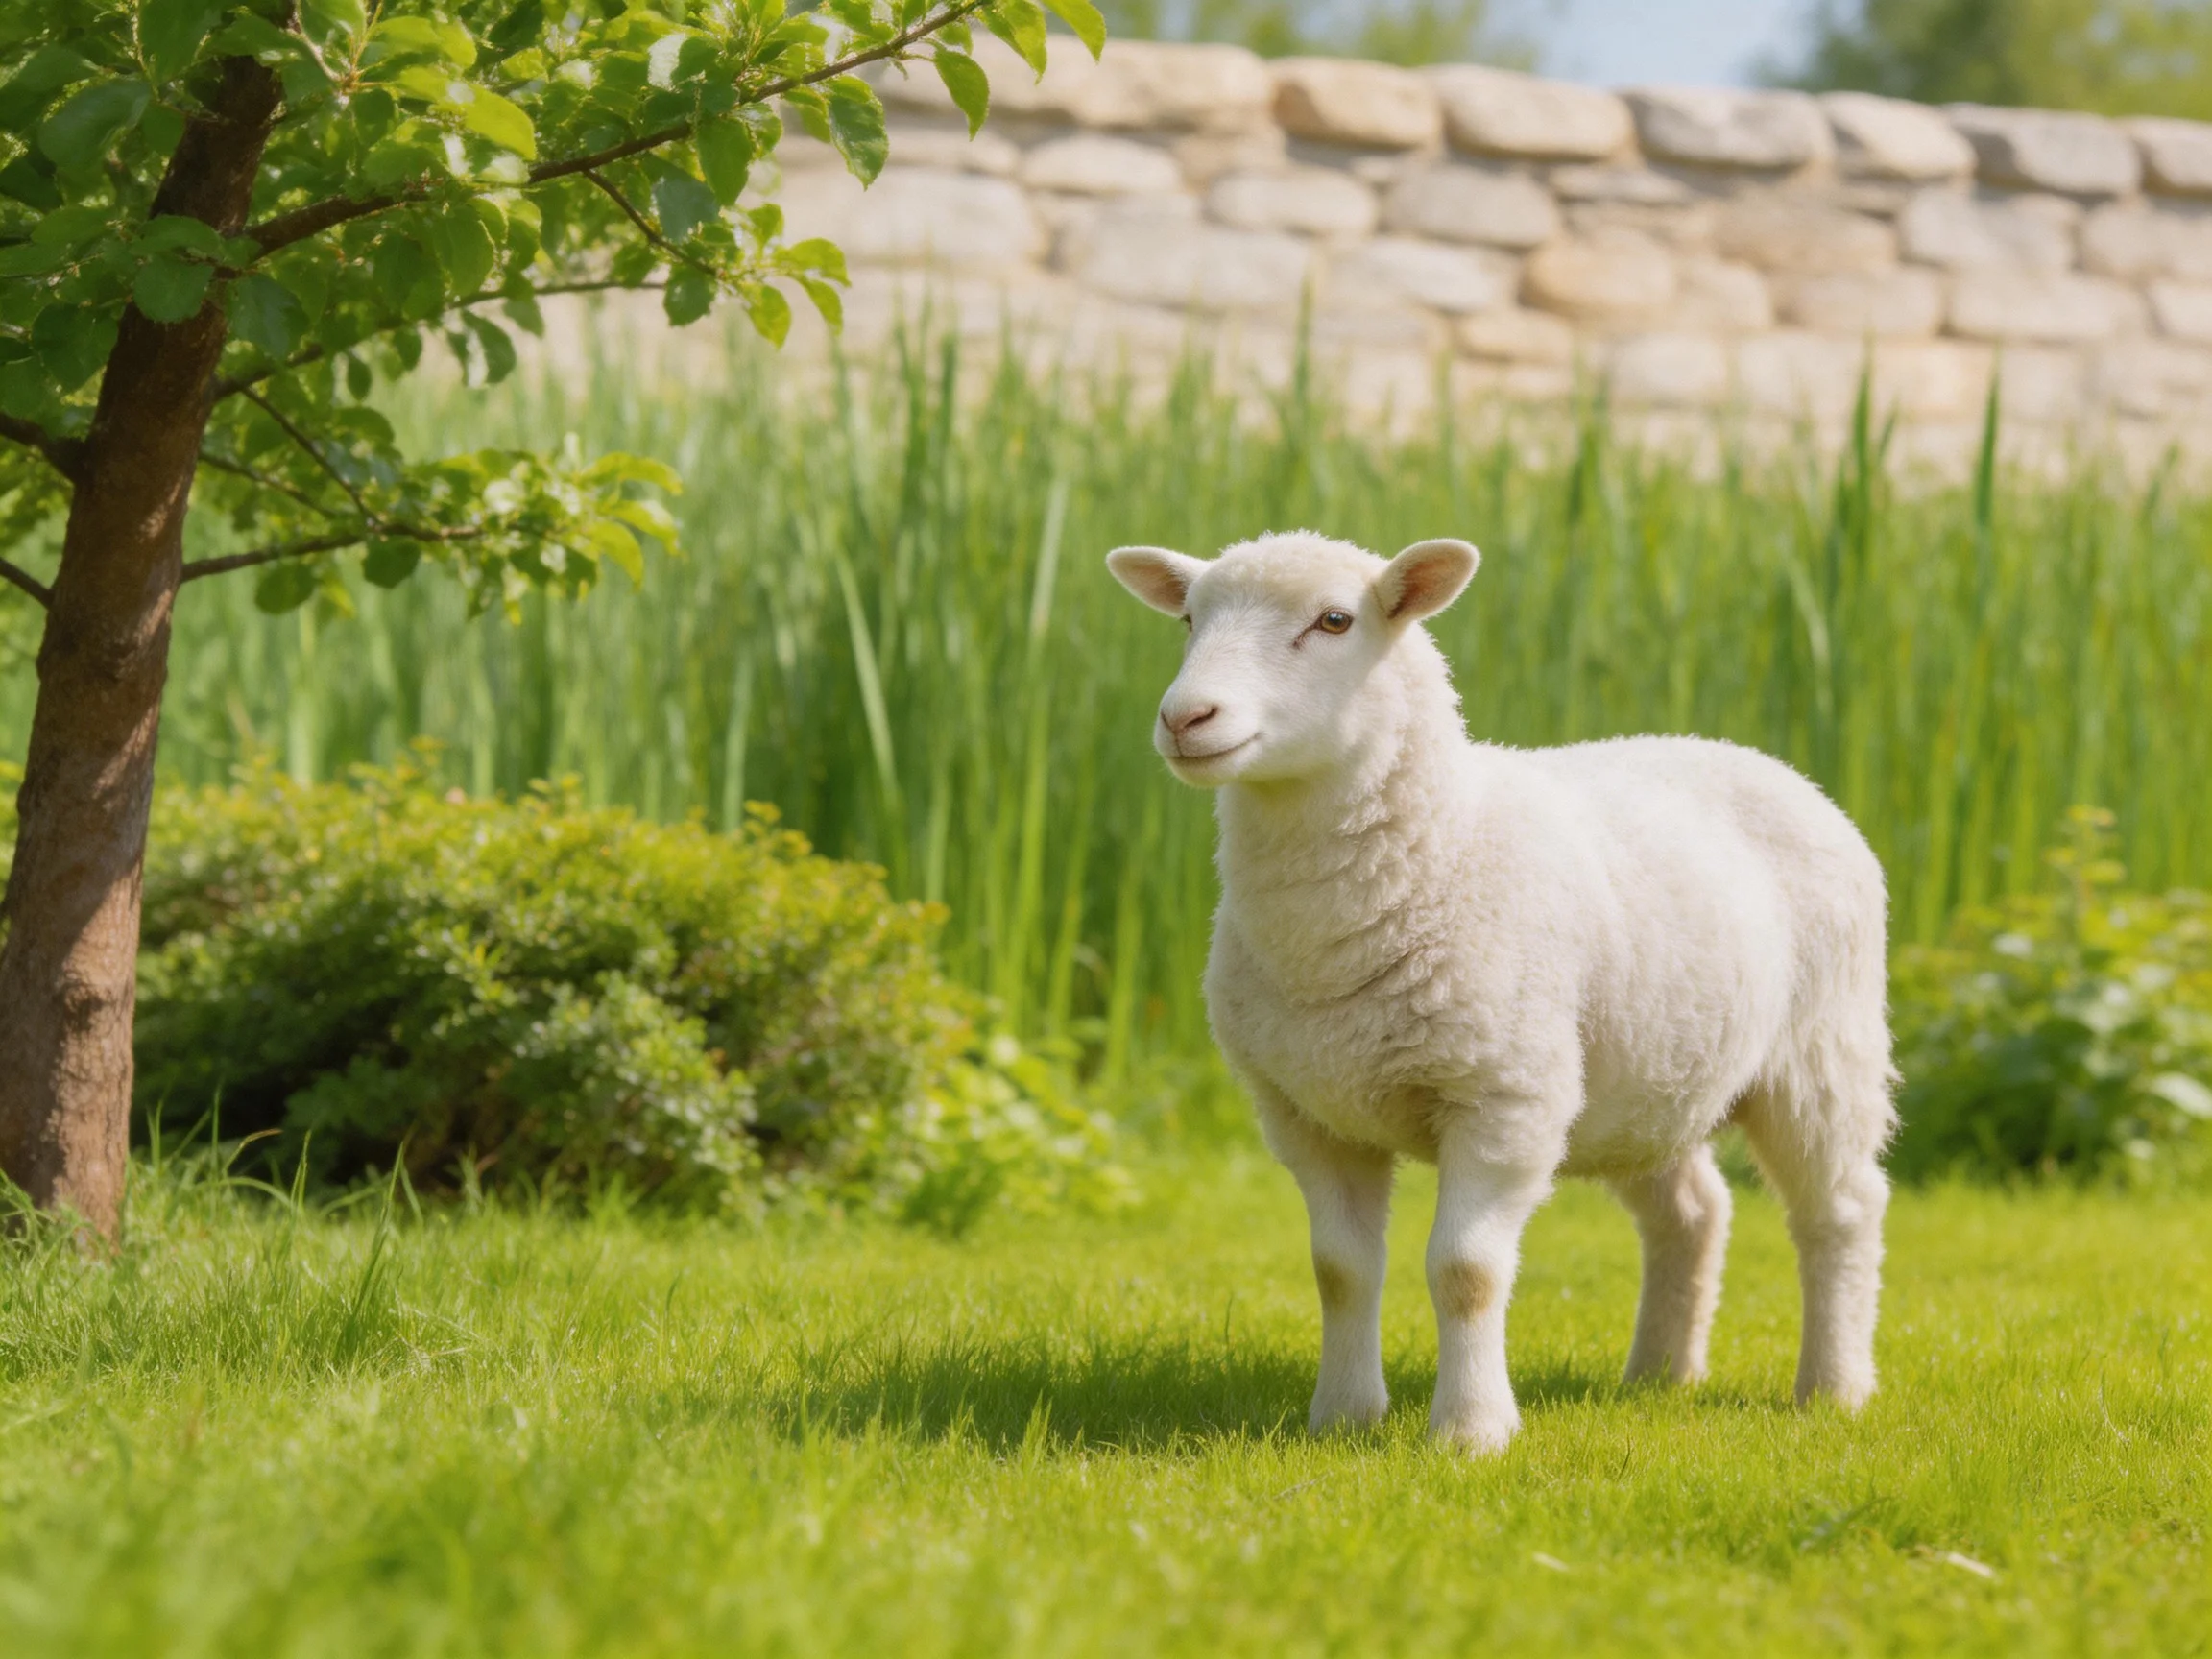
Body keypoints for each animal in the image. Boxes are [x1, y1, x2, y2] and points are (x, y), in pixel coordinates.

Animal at [1105, 530, 1896, 1453]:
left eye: (1334, 621)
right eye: (1189, 619)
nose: (1185, 718)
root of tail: (1755, 758)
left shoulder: (1503, 1097)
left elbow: (1466, 1271)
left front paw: (1471, 1431)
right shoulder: (1310, 1114)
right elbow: (1340, 1271)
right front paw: (1342, 1417)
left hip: (1821, 1051)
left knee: (1841, 1210)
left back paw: (1834, 1387)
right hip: (1640, 1079)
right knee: (1692, 1212)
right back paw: (1659, 1375)